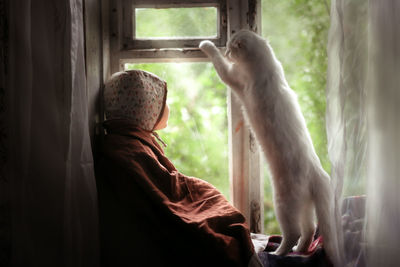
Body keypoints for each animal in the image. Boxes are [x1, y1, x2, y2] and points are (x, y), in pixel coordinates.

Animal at [198, 30, 342, 266]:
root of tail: (318, 174)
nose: (227, 52)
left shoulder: (232, 76)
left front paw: (207, 45)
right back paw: (299, 250)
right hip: (304, 207)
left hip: (283, 203)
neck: (266, 66)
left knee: (293, 232)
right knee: (309, 230)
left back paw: (278, 253)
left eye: (230, 48)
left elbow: (219, 64)